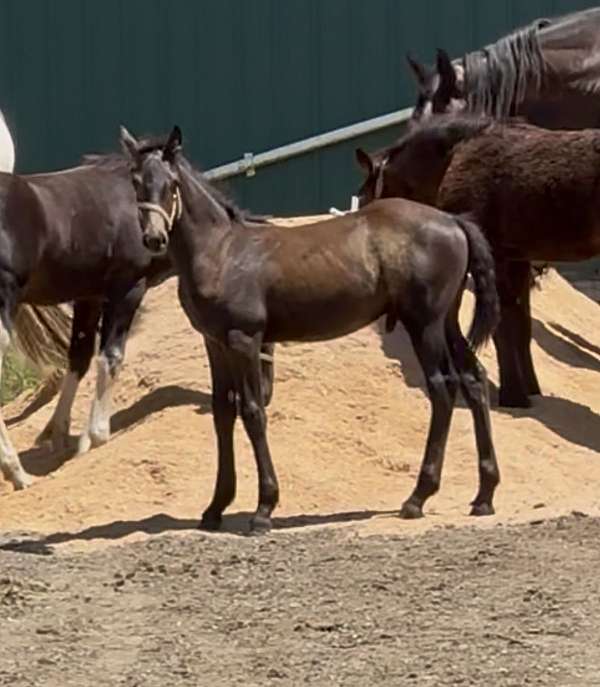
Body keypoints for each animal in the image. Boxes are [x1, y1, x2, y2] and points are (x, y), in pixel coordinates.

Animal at [118, 124, 500, 533]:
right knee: (474, 379)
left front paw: (263, 508)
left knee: (443, 389)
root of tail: (454, 222)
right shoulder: (215, 343)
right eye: (136, 181)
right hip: (447, 321)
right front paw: (215, 507)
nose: (154, 238)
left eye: (171, 183)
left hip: (424, 324)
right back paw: (484, 495)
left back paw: (418, 497)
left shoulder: (245, 340)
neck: (221, 251)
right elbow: (222, 413)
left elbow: (252, 412)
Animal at [355, 113, 600, 408]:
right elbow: (521, 326)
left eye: (364, 197)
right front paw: (530, 389)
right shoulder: (518, 260)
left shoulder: (495, 257)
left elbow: (501, 326)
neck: (453, 161)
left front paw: (513, 396)